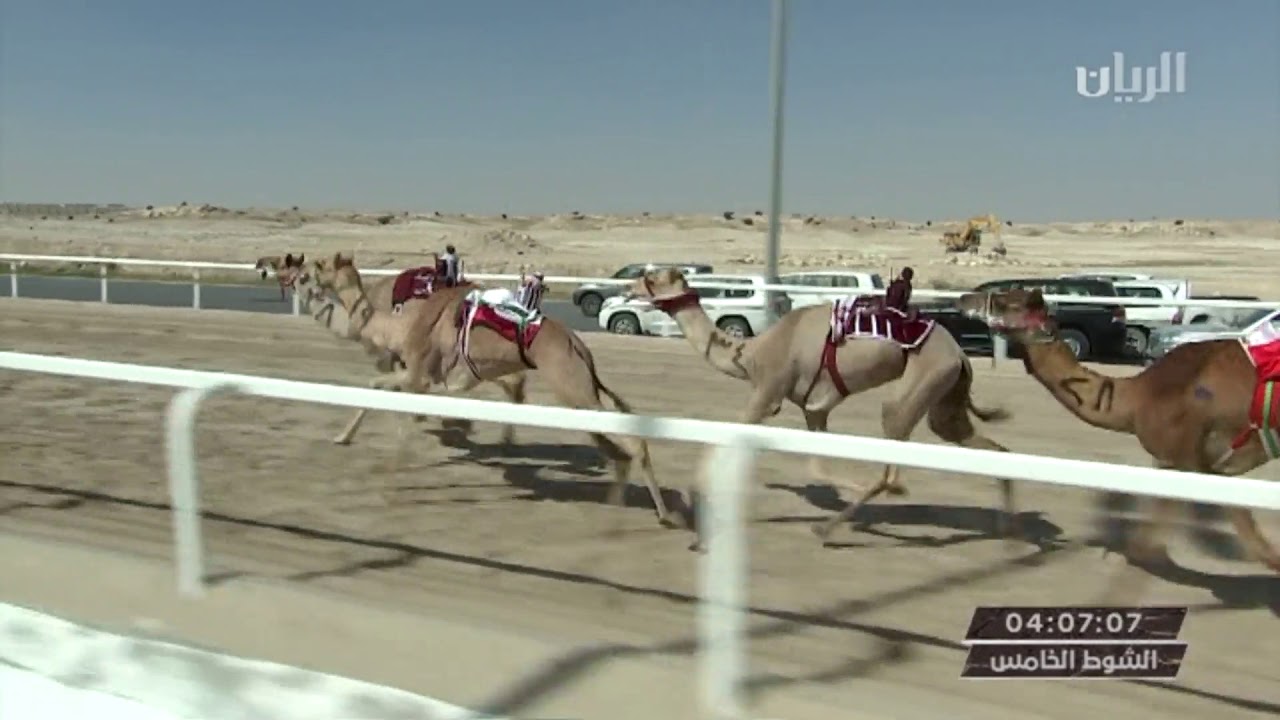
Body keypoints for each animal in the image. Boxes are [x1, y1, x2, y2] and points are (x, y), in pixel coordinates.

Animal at [290, 252, 529, 446]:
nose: (297, 274)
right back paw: (507, 437)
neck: (392, 326)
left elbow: (376, 385)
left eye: (320, 265)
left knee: (514, 382)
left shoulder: (413, 367)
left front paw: (344, 436)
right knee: (515, 383)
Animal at [378, 272, 676, 529]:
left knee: (634, 444)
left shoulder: (423, 374)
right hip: (579, 396)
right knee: (617, 450)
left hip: (573, 388)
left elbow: (389, 391)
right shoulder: (449, 378)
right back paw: (618, 505)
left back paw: (663, 515)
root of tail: (578, 345)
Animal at [628, 268, 1017, 547]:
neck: (749, 354)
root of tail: (960, 355)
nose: (629, 289)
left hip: (915, 388)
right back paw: (1008, 532)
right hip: (946, 398)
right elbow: (816, 466)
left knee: (893, 461)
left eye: (652, 279)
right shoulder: (814, 410)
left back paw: (831, 527)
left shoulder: (767, 393)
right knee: (990, 447)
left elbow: (722, 443)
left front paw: (690, 516)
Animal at [957, 287, 1280, 601]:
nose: (964, 299)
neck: (1137, 398)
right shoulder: (1179, 466)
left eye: (1004, 302)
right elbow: (1145, 546)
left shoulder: (1190, 462)